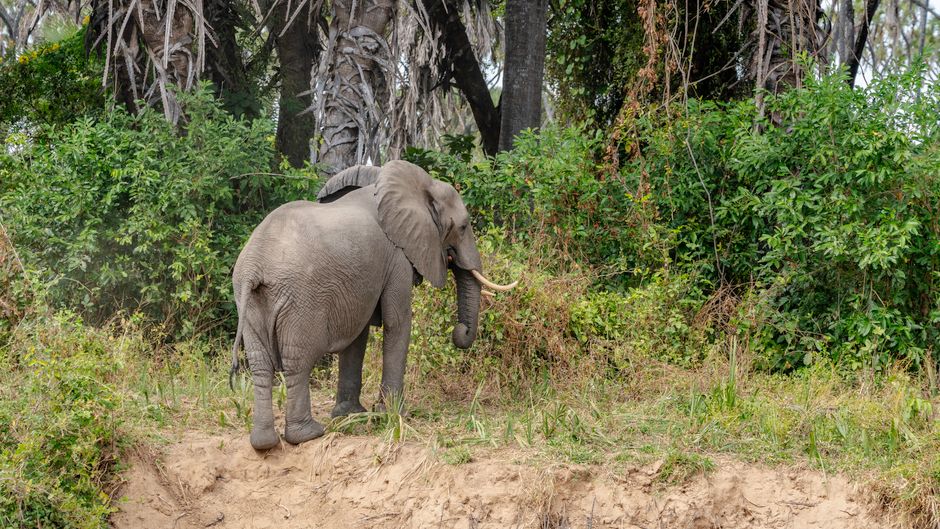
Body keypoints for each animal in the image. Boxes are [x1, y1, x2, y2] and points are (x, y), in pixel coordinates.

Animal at [229, 160, 517, 450]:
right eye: (464, 226)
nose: (461, 331)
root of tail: (255, 266)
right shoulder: (397, 257)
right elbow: (397, 322)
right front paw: (395, 415)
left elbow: (359, 334)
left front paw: (351, 415)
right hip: (299, 300)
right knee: (297, 362)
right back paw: (308, 434)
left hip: (251, 301)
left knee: (260, 365)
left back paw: (264, 443)